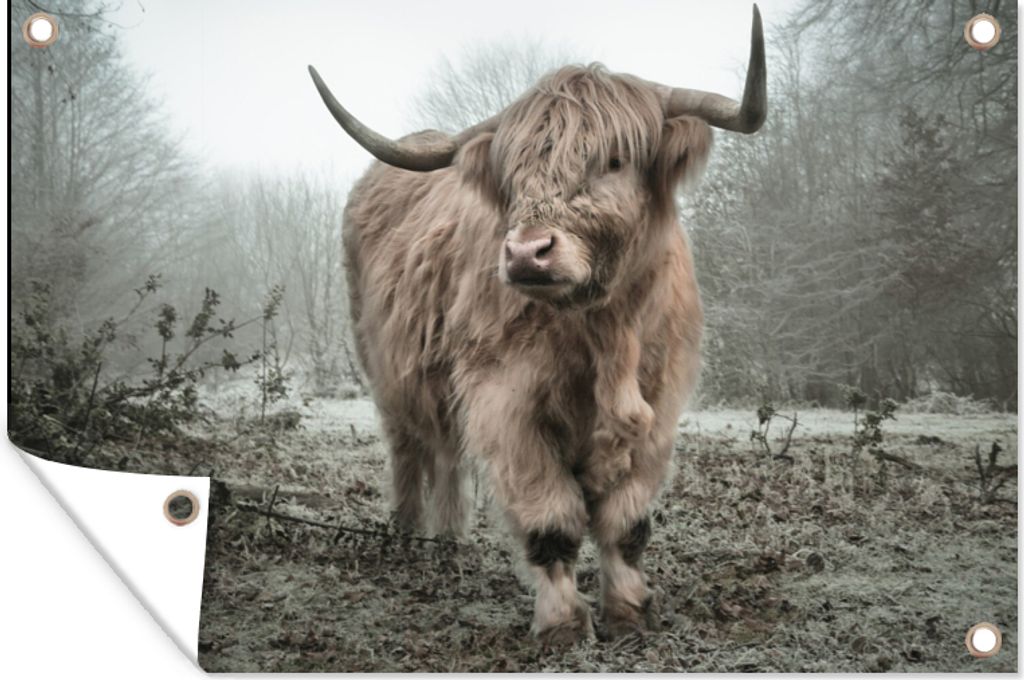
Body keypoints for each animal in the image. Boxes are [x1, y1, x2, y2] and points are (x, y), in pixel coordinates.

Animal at [309, 6, 767, 643]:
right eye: (514, 173)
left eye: (614, 160)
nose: (527, 253)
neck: (604, 333)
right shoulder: (506, 402)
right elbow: (552, 519)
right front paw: (563, 625)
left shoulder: (659, 405)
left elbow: (627, 523)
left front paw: (630, 611)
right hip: (386, 370)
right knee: (408, 449)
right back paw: (408, 535)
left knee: (446, 454)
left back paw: (449, 540)